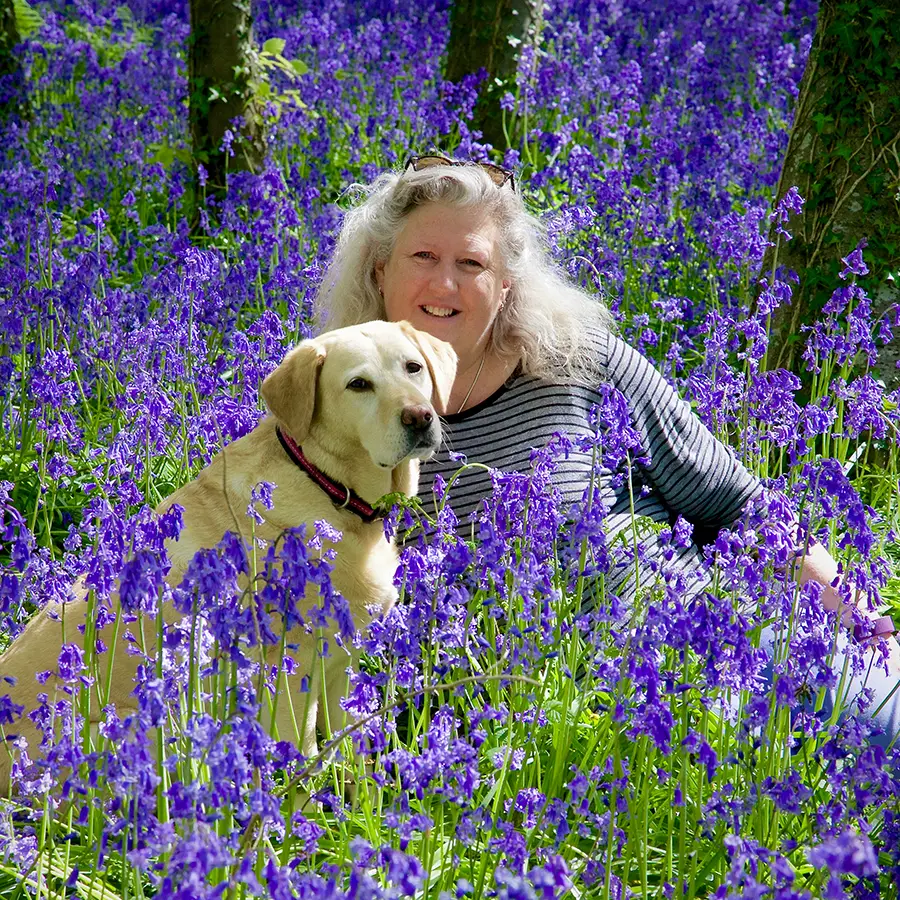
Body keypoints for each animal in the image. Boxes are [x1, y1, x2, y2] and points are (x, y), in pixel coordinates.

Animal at [0, 320, 457, 794]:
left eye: (413, 368)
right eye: (358, 385)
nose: (419, 416)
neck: (329, 484)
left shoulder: (343, 663)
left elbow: (355, 754)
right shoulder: (290, 675)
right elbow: (304, 767)